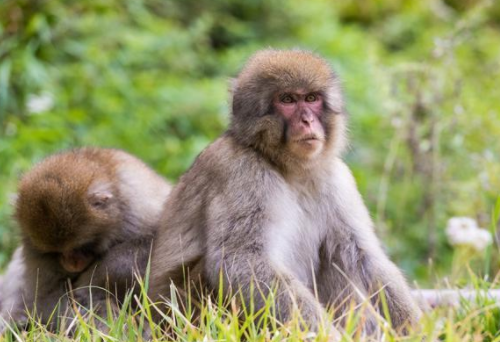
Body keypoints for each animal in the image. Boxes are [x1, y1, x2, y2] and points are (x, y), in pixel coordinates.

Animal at [0, 147, 172, 332]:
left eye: (82, 246)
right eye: (56, 252)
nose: (71, 264)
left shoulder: (138, 210)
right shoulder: (32, 245)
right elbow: (47, 296)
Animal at [148, 48, 422, 336]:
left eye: (311, 98)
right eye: (287, 100)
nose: (307, 120)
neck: (288, 168)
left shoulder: (337, 177)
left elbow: (362, 255)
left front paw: (417, 329)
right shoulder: (242, 173)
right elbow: (241, 260)